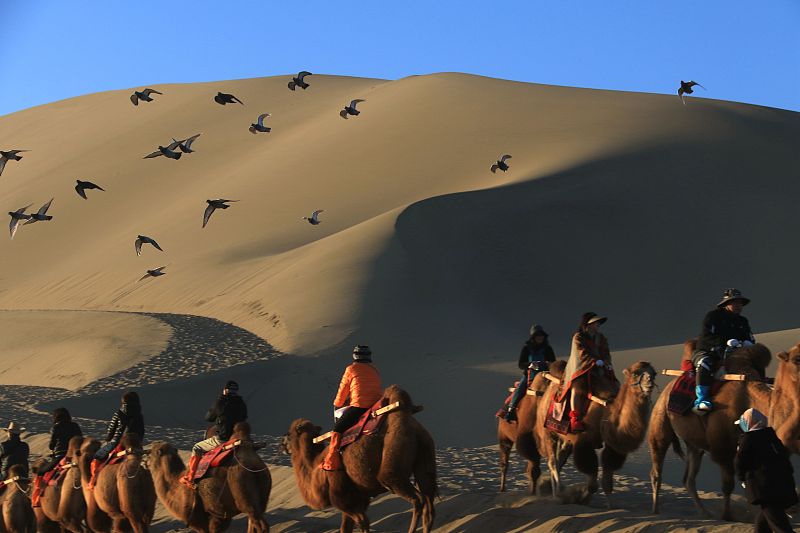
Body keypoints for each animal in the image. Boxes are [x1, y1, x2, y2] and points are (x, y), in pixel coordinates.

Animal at [284, 384, 438, 532]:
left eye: (288, 435)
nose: (282, 445)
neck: (316, 467)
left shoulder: (343, 497)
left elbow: (363, 522)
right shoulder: (358, 497)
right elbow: (345, 528)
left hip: (392, 467)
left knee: (416, 498)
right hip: (425, 457)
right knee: (429, 506)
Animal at [536, 358, 660, 502]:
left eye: (654, 373)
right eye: (635, 373)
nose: (649, 382)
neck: (607, 412)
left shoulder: (612, 444)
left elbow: (607, 482)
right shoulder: (584, 441)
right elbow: (593, 484)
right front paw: (581, 495)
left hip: (565, 437)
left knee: (560, 457)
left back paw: (554, 489)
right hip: (547, 431)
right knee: (552, 463)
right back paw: (557, 494)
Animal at [648, 340, 784, 520]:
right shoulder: (723, 447)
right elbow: (727, 485)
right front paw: (727, 516)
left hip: (694, 443)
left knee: (688, 478)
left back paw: (704, 512)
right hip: (660, 419)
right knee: (657, 468)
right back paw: (655, 511)